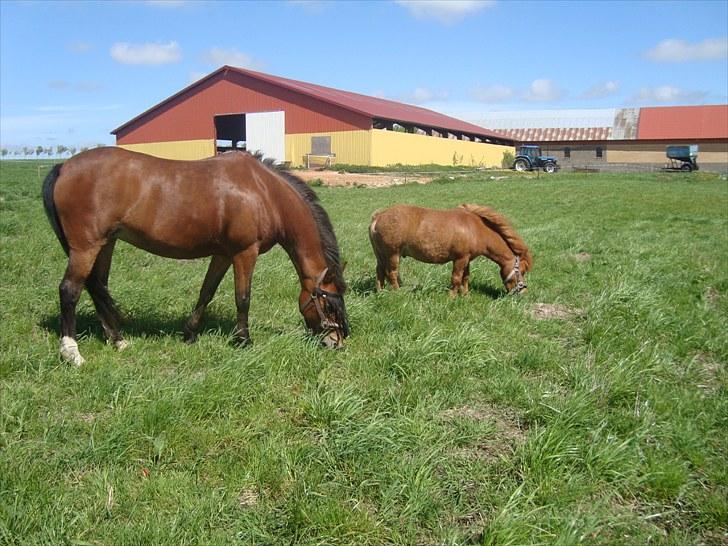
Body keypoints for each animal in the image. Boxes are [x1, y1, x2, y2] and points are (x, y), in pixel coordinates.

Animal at [42, 147, 350, 364]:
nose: (337, 342)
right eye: (329, 305)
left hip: (106, 244)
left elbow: (206, 292)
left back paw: (118, 340)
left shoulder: (223, 254)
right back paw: (71, 353)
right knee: (70, 290)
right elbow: (243, 298)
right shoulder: (244, 252)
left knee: (97, 286)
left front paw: (189, 333)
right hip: (86, 247)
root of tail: (63, 167)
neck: (265, 192)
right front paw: (244, 340)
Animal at [370, 203, 528, 296]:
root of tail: (378, 216)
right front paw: (452, 297)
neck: (476, 229)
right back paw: (398, 293)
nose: (524, 292)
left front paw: (465, 295)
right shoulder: (459, 259)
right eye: (521, 271)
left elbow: (465, 277)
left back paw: (380, 292)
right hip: (393, 254)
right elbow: (456, 278)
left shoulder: (467, 259)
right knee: (392, 273)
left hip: (381, 255)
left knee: (380, 272)